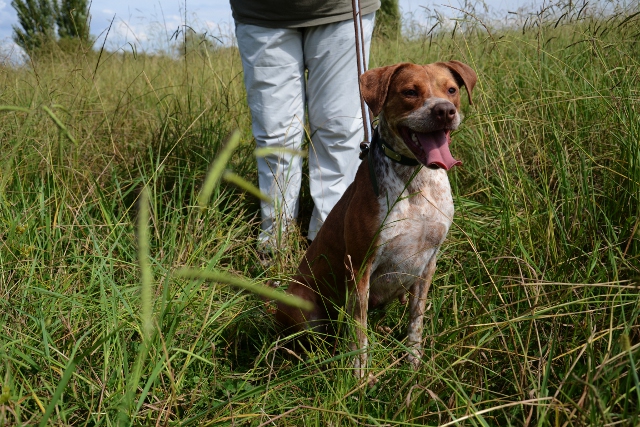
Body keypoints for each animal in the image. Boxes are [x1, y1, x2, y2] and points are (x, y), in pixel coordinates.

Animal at [276, 61, 476, 378]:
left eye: (452, 90)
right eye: (410, 92)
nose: (444, 111)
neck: (416, 179)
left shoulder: (428, 264)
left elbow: (416, 320)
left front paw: (413, 361)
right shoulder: (360, 268)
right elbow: (359, 332)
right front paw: (358, 374)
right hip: (301, 303)